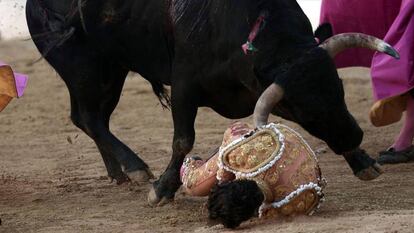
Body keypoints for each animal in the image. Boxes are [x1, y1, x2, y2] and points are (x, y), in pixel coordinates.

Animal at [25, 0, 398, 206]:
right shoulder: (185, 85)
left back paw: (118, 172)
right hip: (82, 67)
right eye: (299, 108)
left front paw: (363, 162)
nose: (354, 137)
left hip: (110, 70)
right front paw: (162, 190)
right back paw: (134, 167)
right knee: (88, 118)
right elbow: (182, 140)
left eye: (338, 87)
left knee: (91, 118)